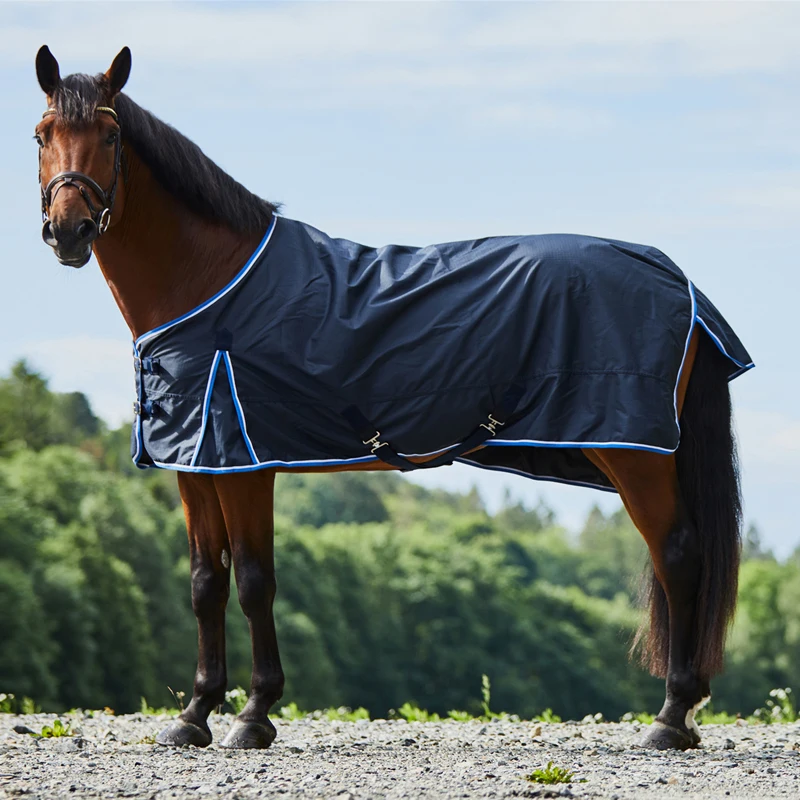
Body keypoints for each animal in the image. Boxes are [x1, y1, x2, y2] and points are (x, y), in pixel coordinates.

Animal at [33, 46, 753, 751]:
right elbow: (206, 583)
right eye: (42, 134)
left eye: (110, 135)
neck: (211, 282)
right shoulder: (196, 463)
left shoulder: (245, 464)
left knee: (677, 556)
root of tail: (675, 278)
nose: (68, 231)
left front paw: (254, 715)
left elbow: (255, 581)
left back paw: (672, 716)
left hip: (635, 455)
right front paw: (195, 713)